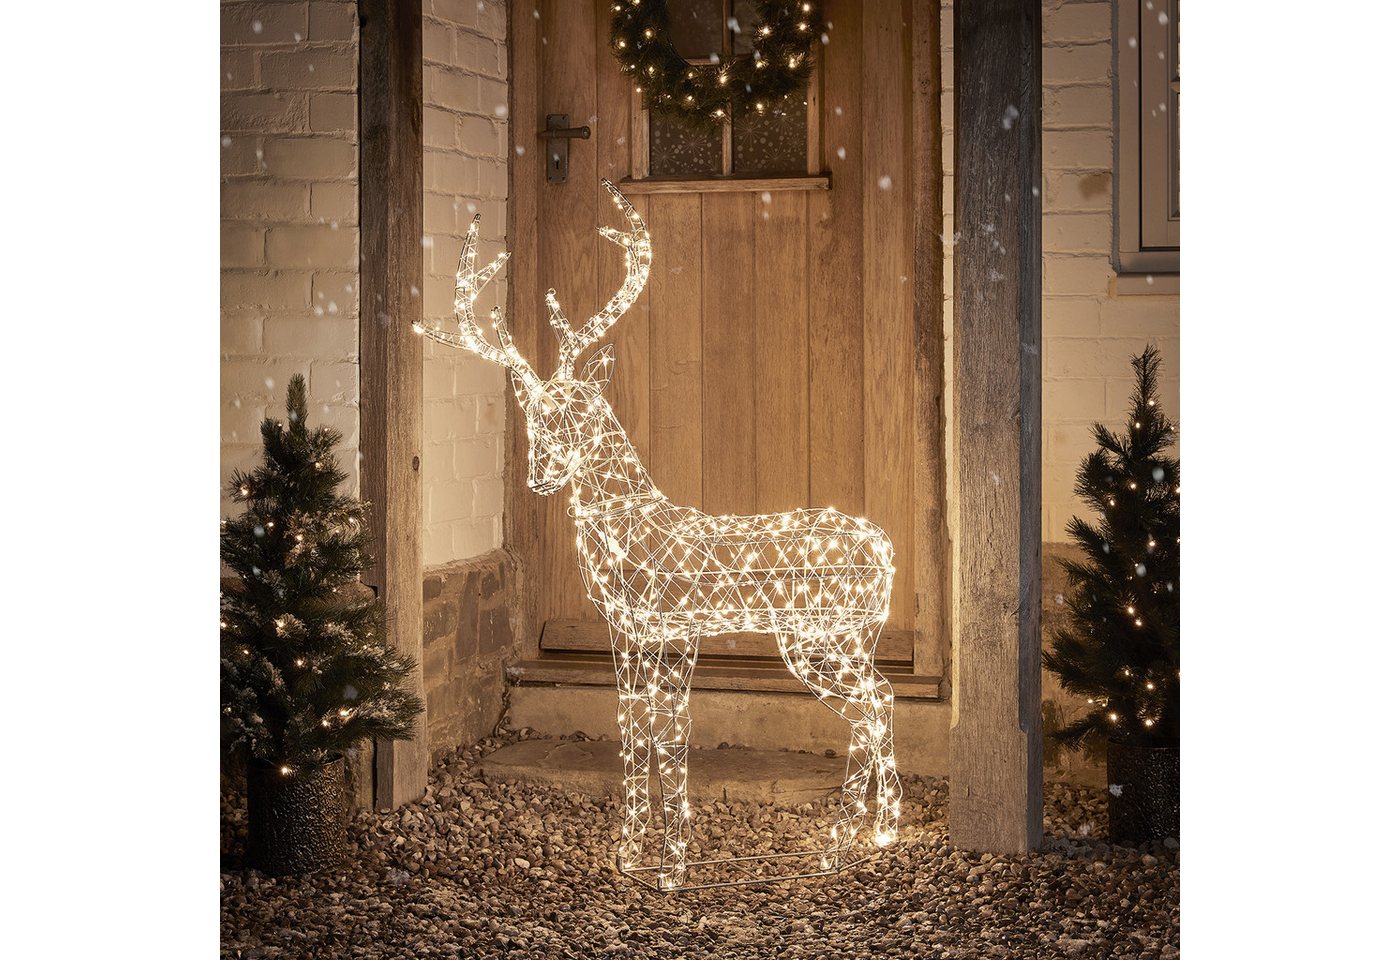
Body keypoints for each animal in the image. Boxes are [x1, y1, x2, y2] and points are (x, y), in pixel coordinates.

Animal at [418, 181, 900, 889]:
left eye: (582, 410)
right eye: (533, 417)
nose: (539, 473)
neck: (633, 527)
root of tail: (888, 550)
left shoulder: (669, 629)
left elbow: (667, 737)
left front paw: (670, 863)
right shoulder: (632, 633)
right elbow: (636, 730)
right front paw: (633, 850)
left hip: (821, 634)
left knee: (872, 705)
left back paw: (843, 844)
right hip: (838, 637)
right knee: (881, 699)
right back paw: (879, 833)